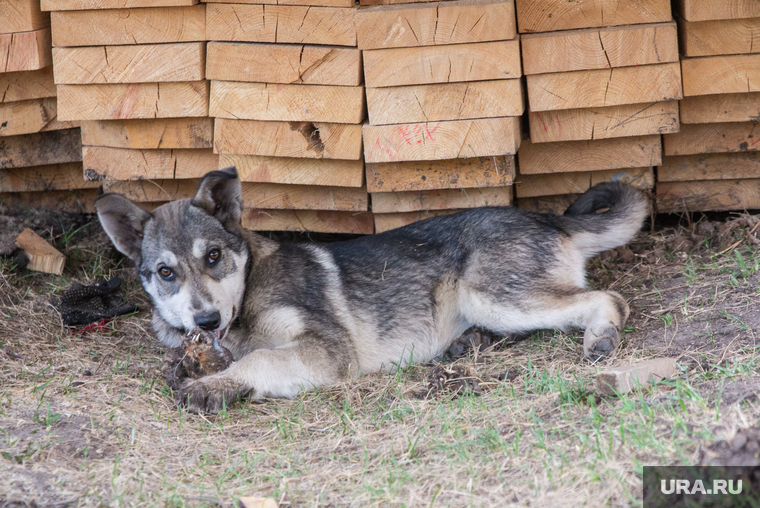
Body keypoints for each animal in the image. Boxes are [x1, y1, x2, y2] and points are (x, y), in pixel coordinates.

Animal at [95, 167, 652, 412]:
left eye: (213, 256)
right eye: (165, 272)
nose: (206, 322)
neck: (247, 292)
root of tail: (550, 219)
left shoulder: (326, 349)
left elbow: (262, 360)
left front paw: (215, 384)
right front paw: (199, 369)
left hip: (495, 296)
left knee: (605, 299)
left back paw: (600, 336)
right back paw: (465, 343)